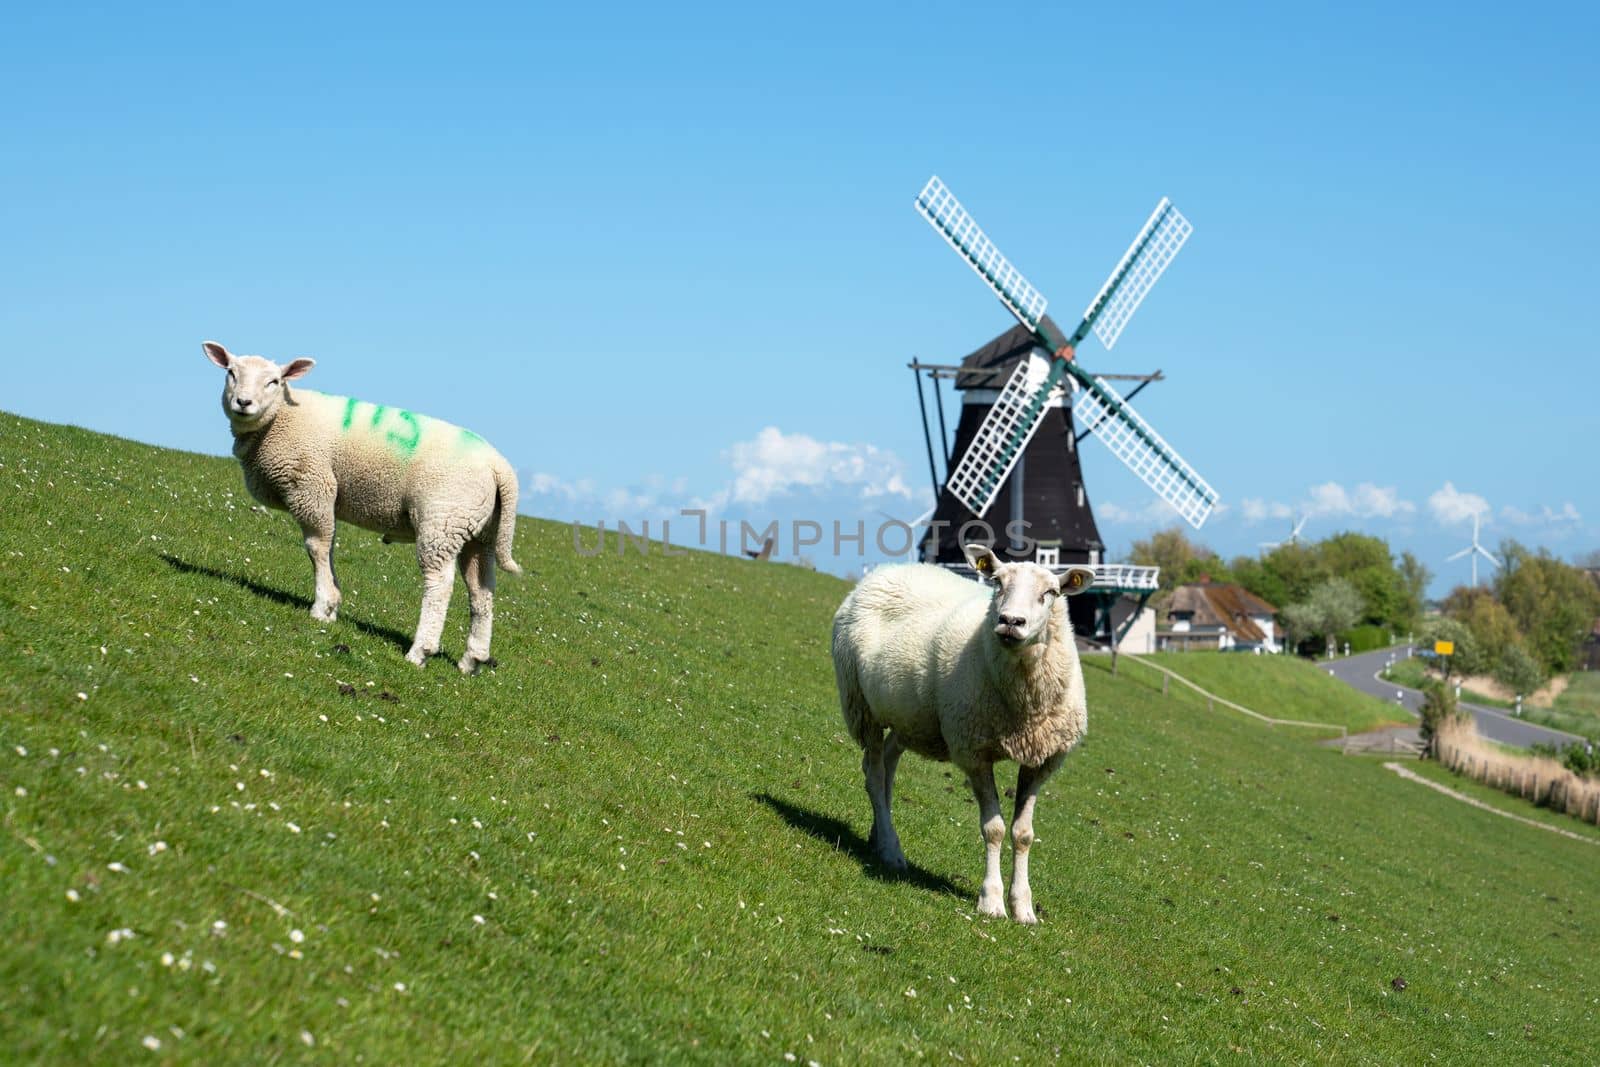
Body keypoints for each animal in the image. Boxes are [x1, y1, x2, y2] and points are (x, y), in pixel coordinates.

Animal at [203, 340, 521, 675]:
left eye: (274, 381)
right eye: (231, 372)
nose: (243, 402)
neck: (281, 417)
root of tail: (500, 468)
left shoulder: (311, 486)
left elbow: (316, 547)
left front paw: (323, 606)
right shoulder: (322, 497)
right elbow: (328, 546)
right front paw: (332, 605)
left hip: (443, 519)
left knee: (440, 584)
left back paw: (420, 651)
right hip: (478, 531)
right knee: (481, 592)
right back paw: (472, 659)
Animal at [832, 547, 1094, 921]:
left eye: (1051, 593)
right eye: (997, 582)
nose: (1011, 621)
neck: (1024, 705)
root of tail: (882, 572)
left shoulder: (1042, 760)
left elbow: (1024, 834)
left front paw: (1024, 908)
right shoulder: (974, 751)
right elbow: (994, 829)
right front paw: (992, 901)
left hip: (910, 719)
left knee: (888, 766)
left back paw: (879, 837)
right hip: (861, 705)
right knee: (874, 773)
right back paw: (892, 850)